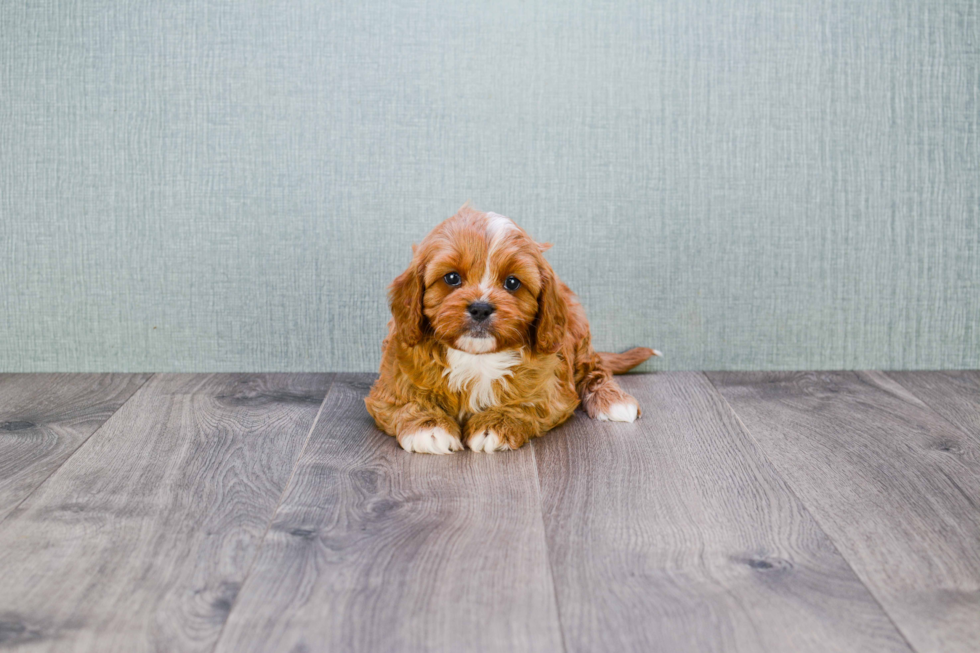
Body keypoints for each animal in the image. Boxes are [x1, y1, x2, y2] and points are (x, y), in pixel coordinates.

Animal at [366, 206, 660, 450]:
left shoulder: (553, 387)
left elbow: (529, 402)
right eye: (451, 278)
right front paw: (429, 427)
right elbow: (405, 400)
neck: (477, 357)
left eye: (512, 282)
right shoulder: (391, 381)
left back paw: (613, 399)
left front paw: (495, 424)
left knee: (594, 367)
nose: (481, 308)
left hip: (578, 331)